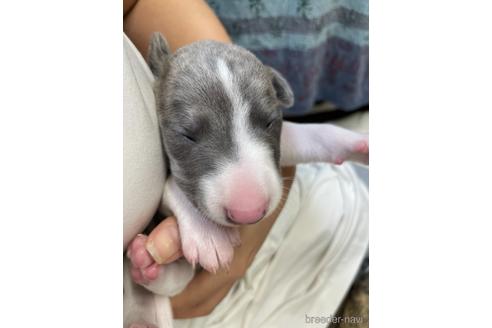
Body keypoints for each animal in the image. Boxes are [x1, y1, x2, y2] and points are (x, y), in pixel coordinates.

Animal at [125, 32, 368, 326]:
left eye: (270, 122)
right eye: (187, 135)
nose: (249, 211)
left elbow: (307, 135)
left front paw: (358, 143)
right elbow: (171, 185)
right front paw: (208, 234)